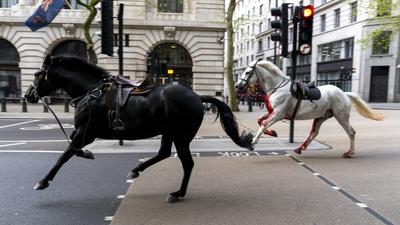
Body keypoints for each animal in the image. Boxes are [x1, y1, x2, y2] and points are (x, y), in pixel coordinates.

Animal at [25, 55, 252, 202]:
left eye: (37, 74)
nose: (28, 95)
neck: (91, 91)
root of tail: (197, 96)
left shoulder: (86, 132)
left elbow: (64, 155)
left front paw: (43, 181)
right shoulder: (82, 132)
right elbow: (72, 149)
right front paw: (87, 154)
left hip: (180, 135)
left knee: (187, 163)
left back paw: (177, 193)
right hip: (169, 132)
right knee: (164, 153)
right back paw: (137, 170)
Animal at [234, 60, 384, 158]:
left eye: (247, 72)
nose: (237, 86)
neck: (277, 87)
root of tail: (344, 93)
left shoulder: (278, 114)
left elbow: (263, 125)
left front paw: (252, 143)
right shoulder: (273, 112)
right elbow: (260, 121)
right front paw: (272, 133)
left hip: (341, 116)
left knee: (351, 132)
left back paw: (350, 152)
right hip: (322, 117)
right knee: (314, 133)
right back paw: (301, 148)